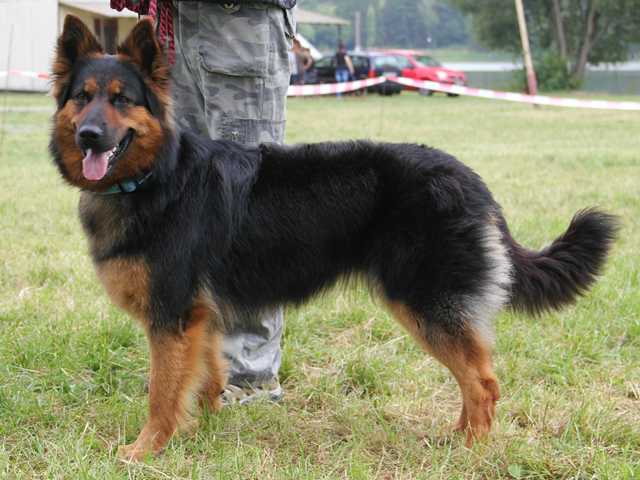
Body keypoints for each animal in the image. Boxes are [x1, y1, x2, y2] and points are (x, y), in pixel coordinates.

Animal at [49, 16, 618, 461]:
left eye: (122, 100)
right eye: (83, 98)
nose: (89, 136)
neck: (157, 176)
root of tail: (471, 180)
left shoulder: (171, 316)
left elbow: (161, 393)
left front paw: (145, 449)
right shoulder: (199, 318)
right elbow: (209, 374)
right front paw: (205, 429)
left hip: (425, 304)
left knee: (483, 382)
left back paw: (471, 449)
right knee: (474, 379)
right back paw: (456, 437)